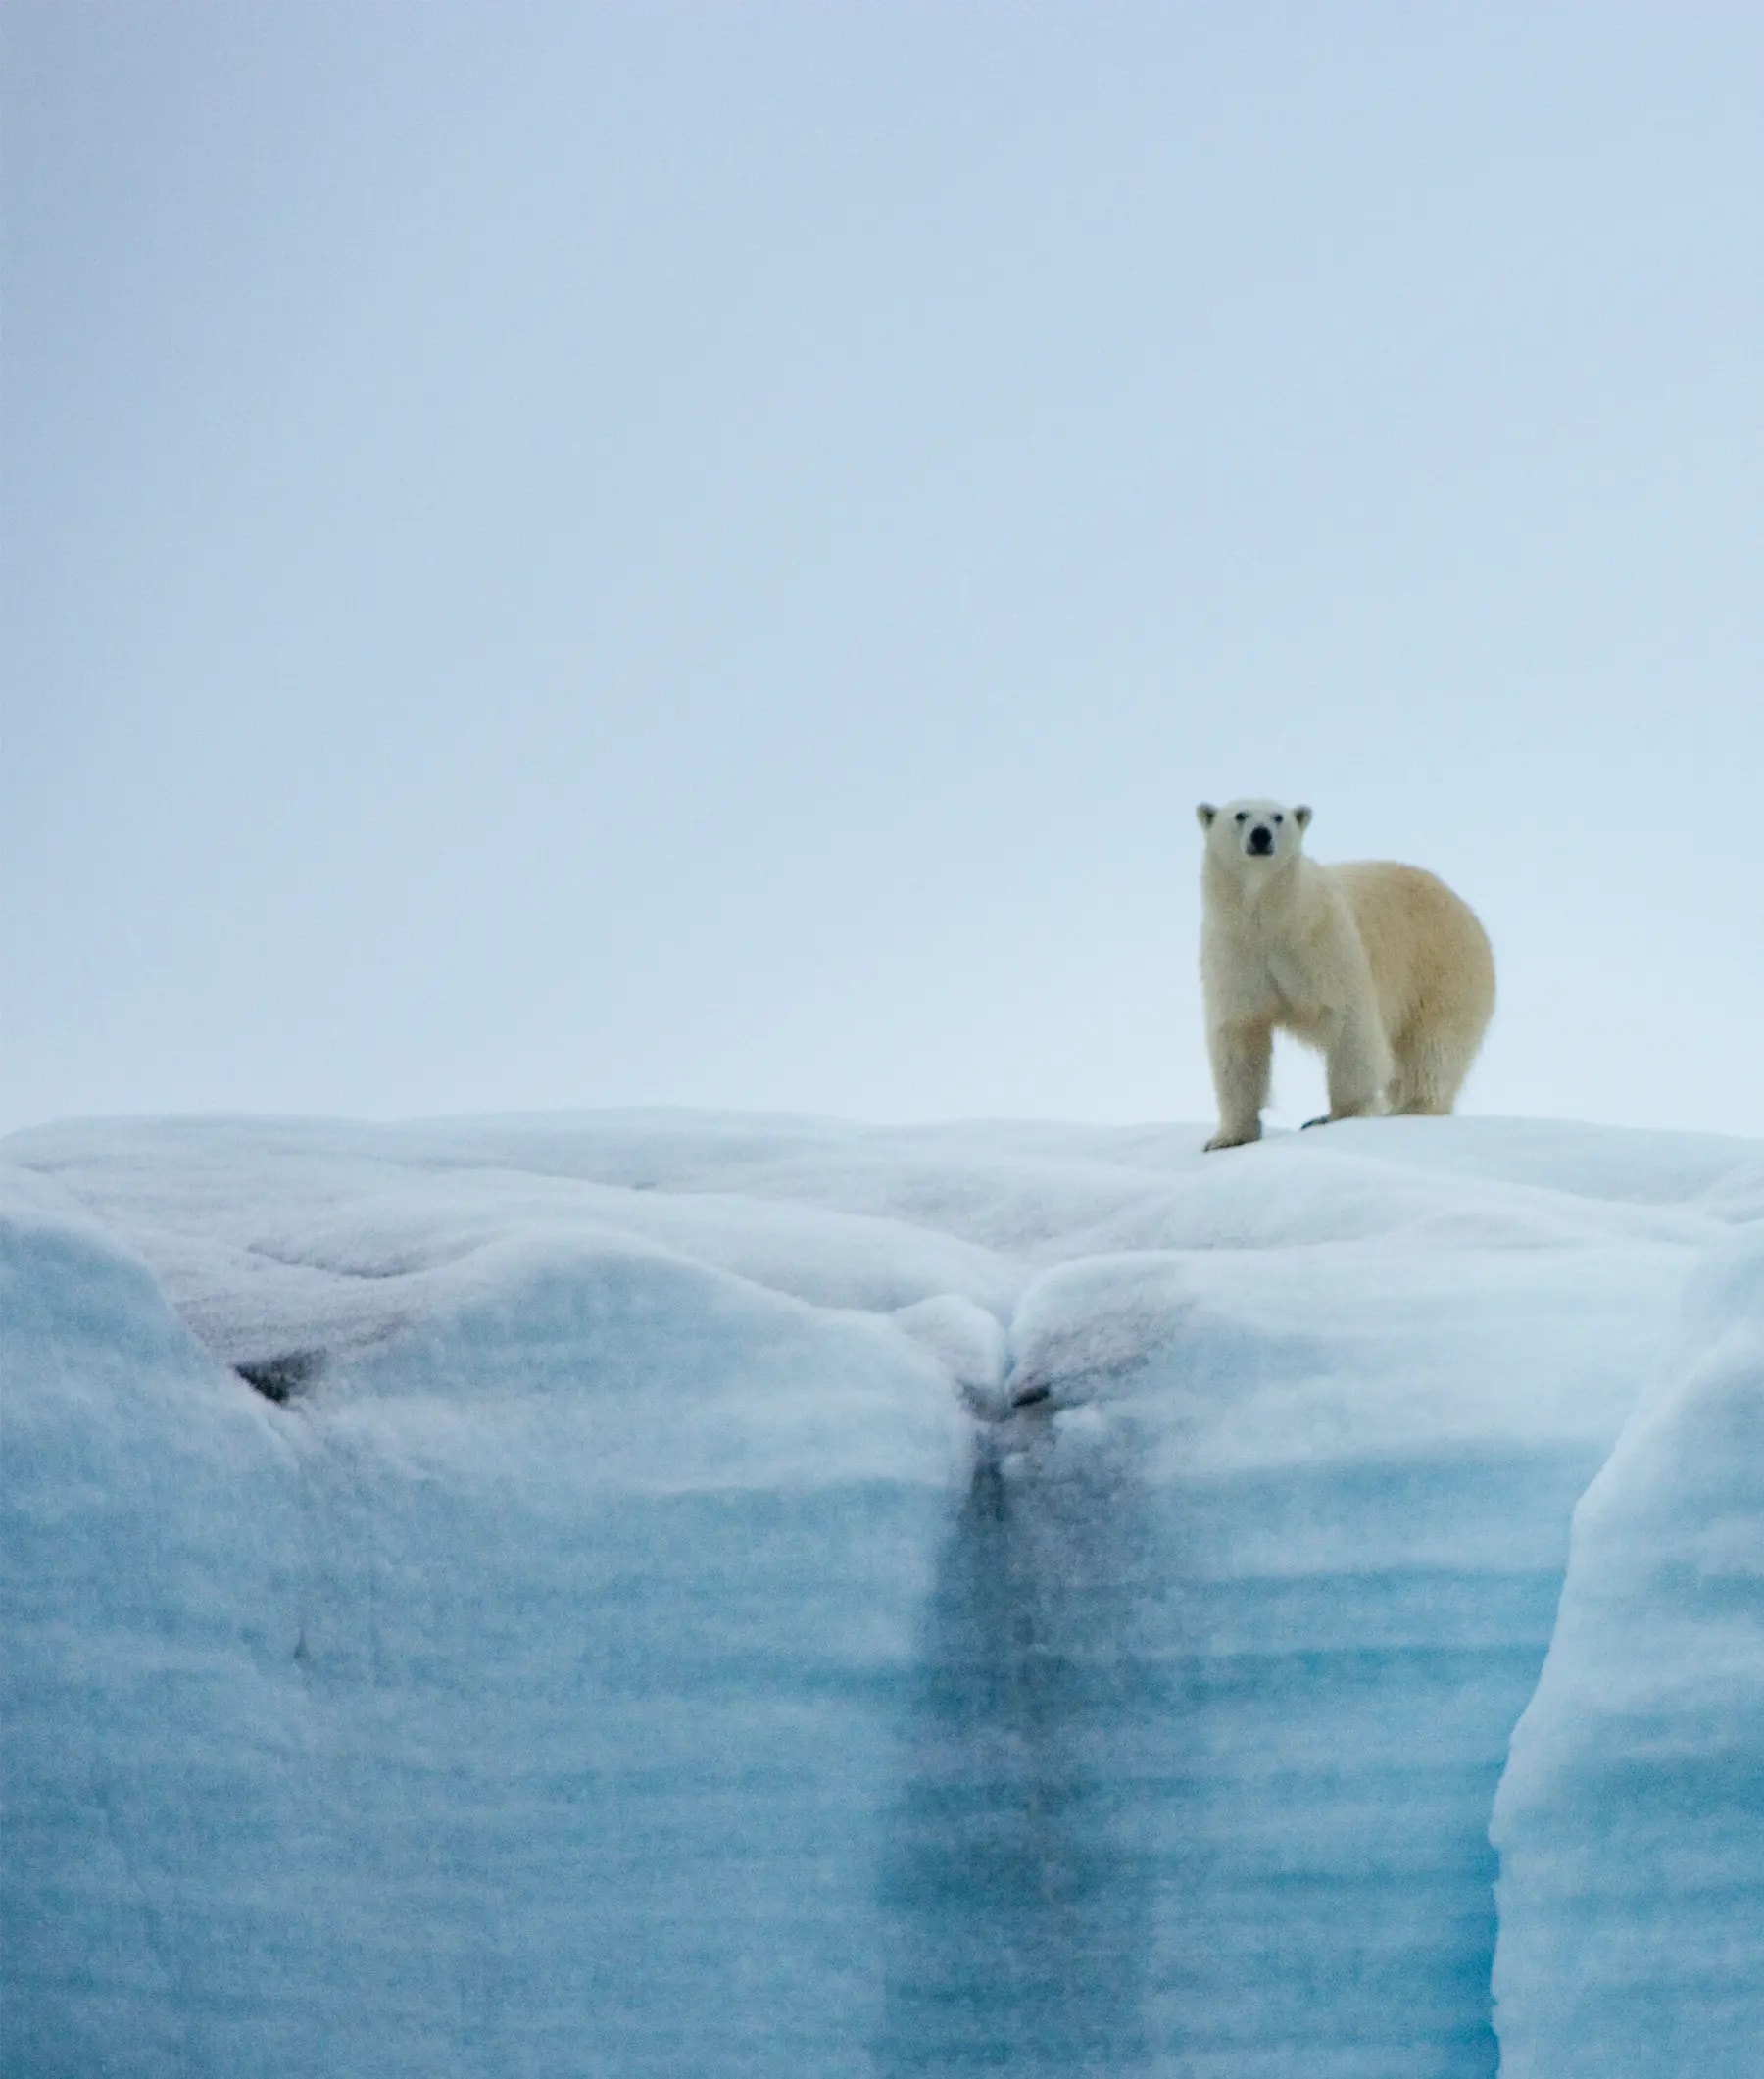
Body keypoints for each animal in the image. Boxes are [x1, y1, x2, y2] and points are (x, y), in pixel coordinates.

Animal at [1195, 798, 1495, 1151]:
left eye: (1278, 816)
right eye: (1240, 814)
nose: (1261, 835)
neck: (1274, 919)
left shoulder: (1323, 943)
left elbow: (1349, 1024)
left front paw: (1338, 1116)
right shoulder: (1236, 955)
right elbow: (1239, 1036)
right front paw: (1228, 1138)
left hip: (1442, 970)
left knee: (1431, 1048)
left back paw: (1413, 1107)